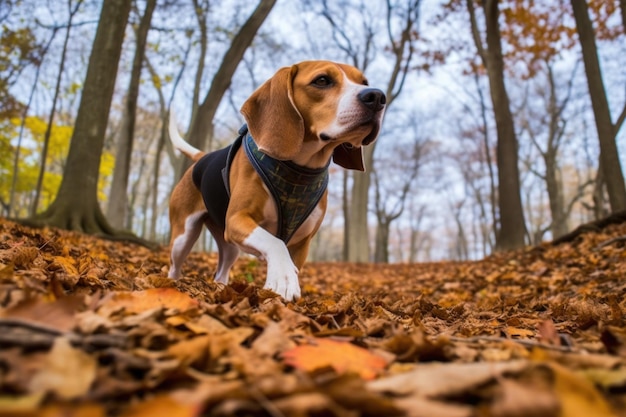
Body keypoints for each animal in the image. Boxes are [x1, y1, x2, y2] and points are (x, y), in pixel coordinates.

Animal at [166, 60, 386, 300]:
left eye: (364, 82)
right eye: (322, 80)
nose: (377, 96)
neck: (300, 169)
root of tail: (201, 158)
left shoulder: (302, 243)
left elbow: (290, 261)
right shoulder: (238, 219)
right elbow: (275, 242)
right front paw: (283, 279)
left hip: (229, 244)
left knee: (222, 272)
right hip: (184, 237)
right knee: (174, 267)